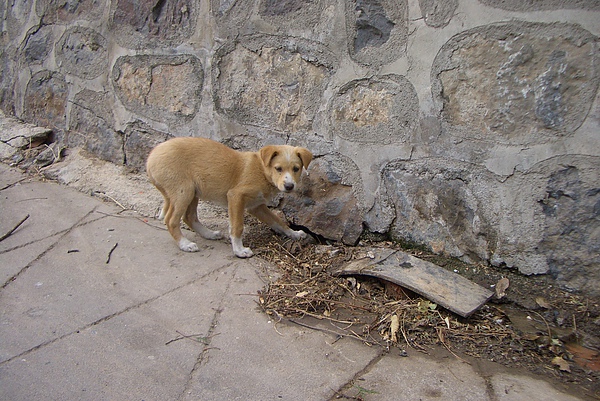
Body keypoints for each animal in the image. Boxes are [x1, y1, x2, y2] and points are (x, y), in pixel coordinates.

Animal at [146, 137, 314, 256]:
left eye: (296, 169)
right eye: (278, 168)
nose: (289, 186)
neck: (262, 171)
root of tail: (151, 156)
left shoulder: (256, 206)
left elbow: (278, 221)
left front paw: (294, 234)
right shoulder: (236, 196)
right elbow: (237, 227)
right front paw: (239, 250)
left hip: (193, 191)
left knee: (189, 217)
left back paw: (209, 234)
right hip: (183, 191)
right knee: (171, 220)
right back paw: (185, 244)